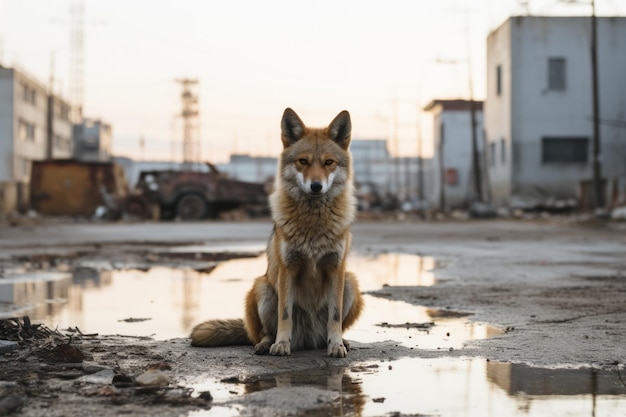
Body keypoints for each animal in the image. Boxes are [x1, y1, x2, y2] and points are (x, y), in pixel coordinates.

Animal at [191, 108, 366, 358]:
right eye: (303, 161)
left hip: (350, 283)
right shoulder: (288, 268)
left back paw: (341, 341)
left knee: (335, 324)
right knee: (263, 332)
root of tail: (308, 341)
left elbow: (334, 317)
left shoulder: (336, 268)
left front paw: (336, 345)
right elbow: (285, 314)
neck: (313, 223)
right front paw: (282, 344)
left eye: (328, 163)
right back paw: (266, 344)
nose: (316, 186)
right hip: (262, 289)